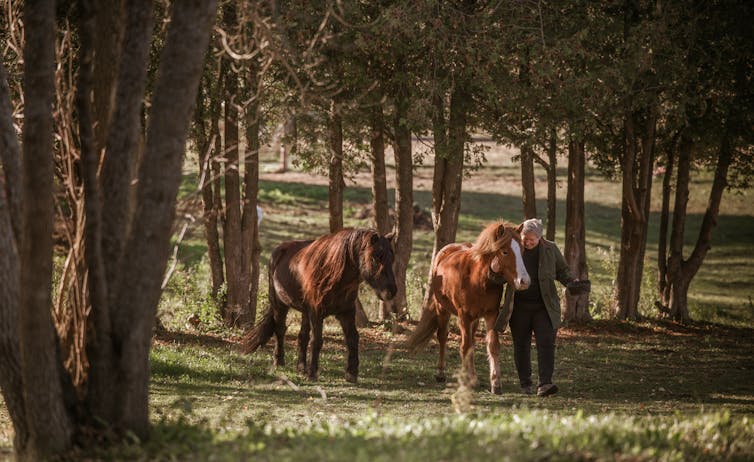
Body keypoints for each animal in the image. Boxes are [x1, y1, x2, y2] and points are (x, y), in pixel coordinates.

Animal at [243, 228, 397, 383]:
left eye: (392, 258)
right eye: (376, 257)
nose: (391, 291)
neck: (333, 277)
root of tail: (279, 250)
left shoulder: (346, 312)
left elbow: (352, 338)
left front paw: (351, 373)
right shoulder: (316, 313)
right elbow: (316, 341)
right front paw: (313, 373)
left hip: (304, 311)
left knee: (302, 336)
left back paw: (301, 367)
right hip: (280, 305)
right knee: (280, 330)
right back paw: (279, 362)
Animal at [405, 221, 530, 394]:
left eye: (523, 250)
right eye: (505, 251)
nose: (524, 281)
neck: (477, 279)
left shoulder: (491, 315)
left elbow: (492, 346)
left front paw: (495, 382)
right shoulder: (464, 316)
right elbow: (465, 346)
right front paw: (466, 379)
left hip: (475, 319)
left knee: (471, 341)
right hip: (443, 310)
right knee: (443, 336)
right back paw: (441, 372)